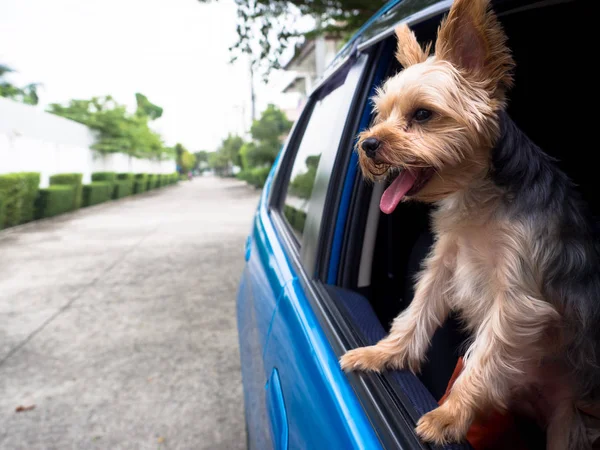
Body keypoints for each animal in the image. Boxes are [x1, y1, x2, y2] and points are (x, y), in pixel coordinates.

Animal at [340, 0, 600, 446]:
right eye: (381, 115)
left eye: (423, 114)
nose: (369, 144)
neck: (479, 198)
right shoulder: (445, 261)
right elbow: (416, 312)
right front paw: (384, 353)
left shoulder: (517, 297)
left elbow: (486, 354)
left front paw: (449, 415)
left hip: (569, 417)